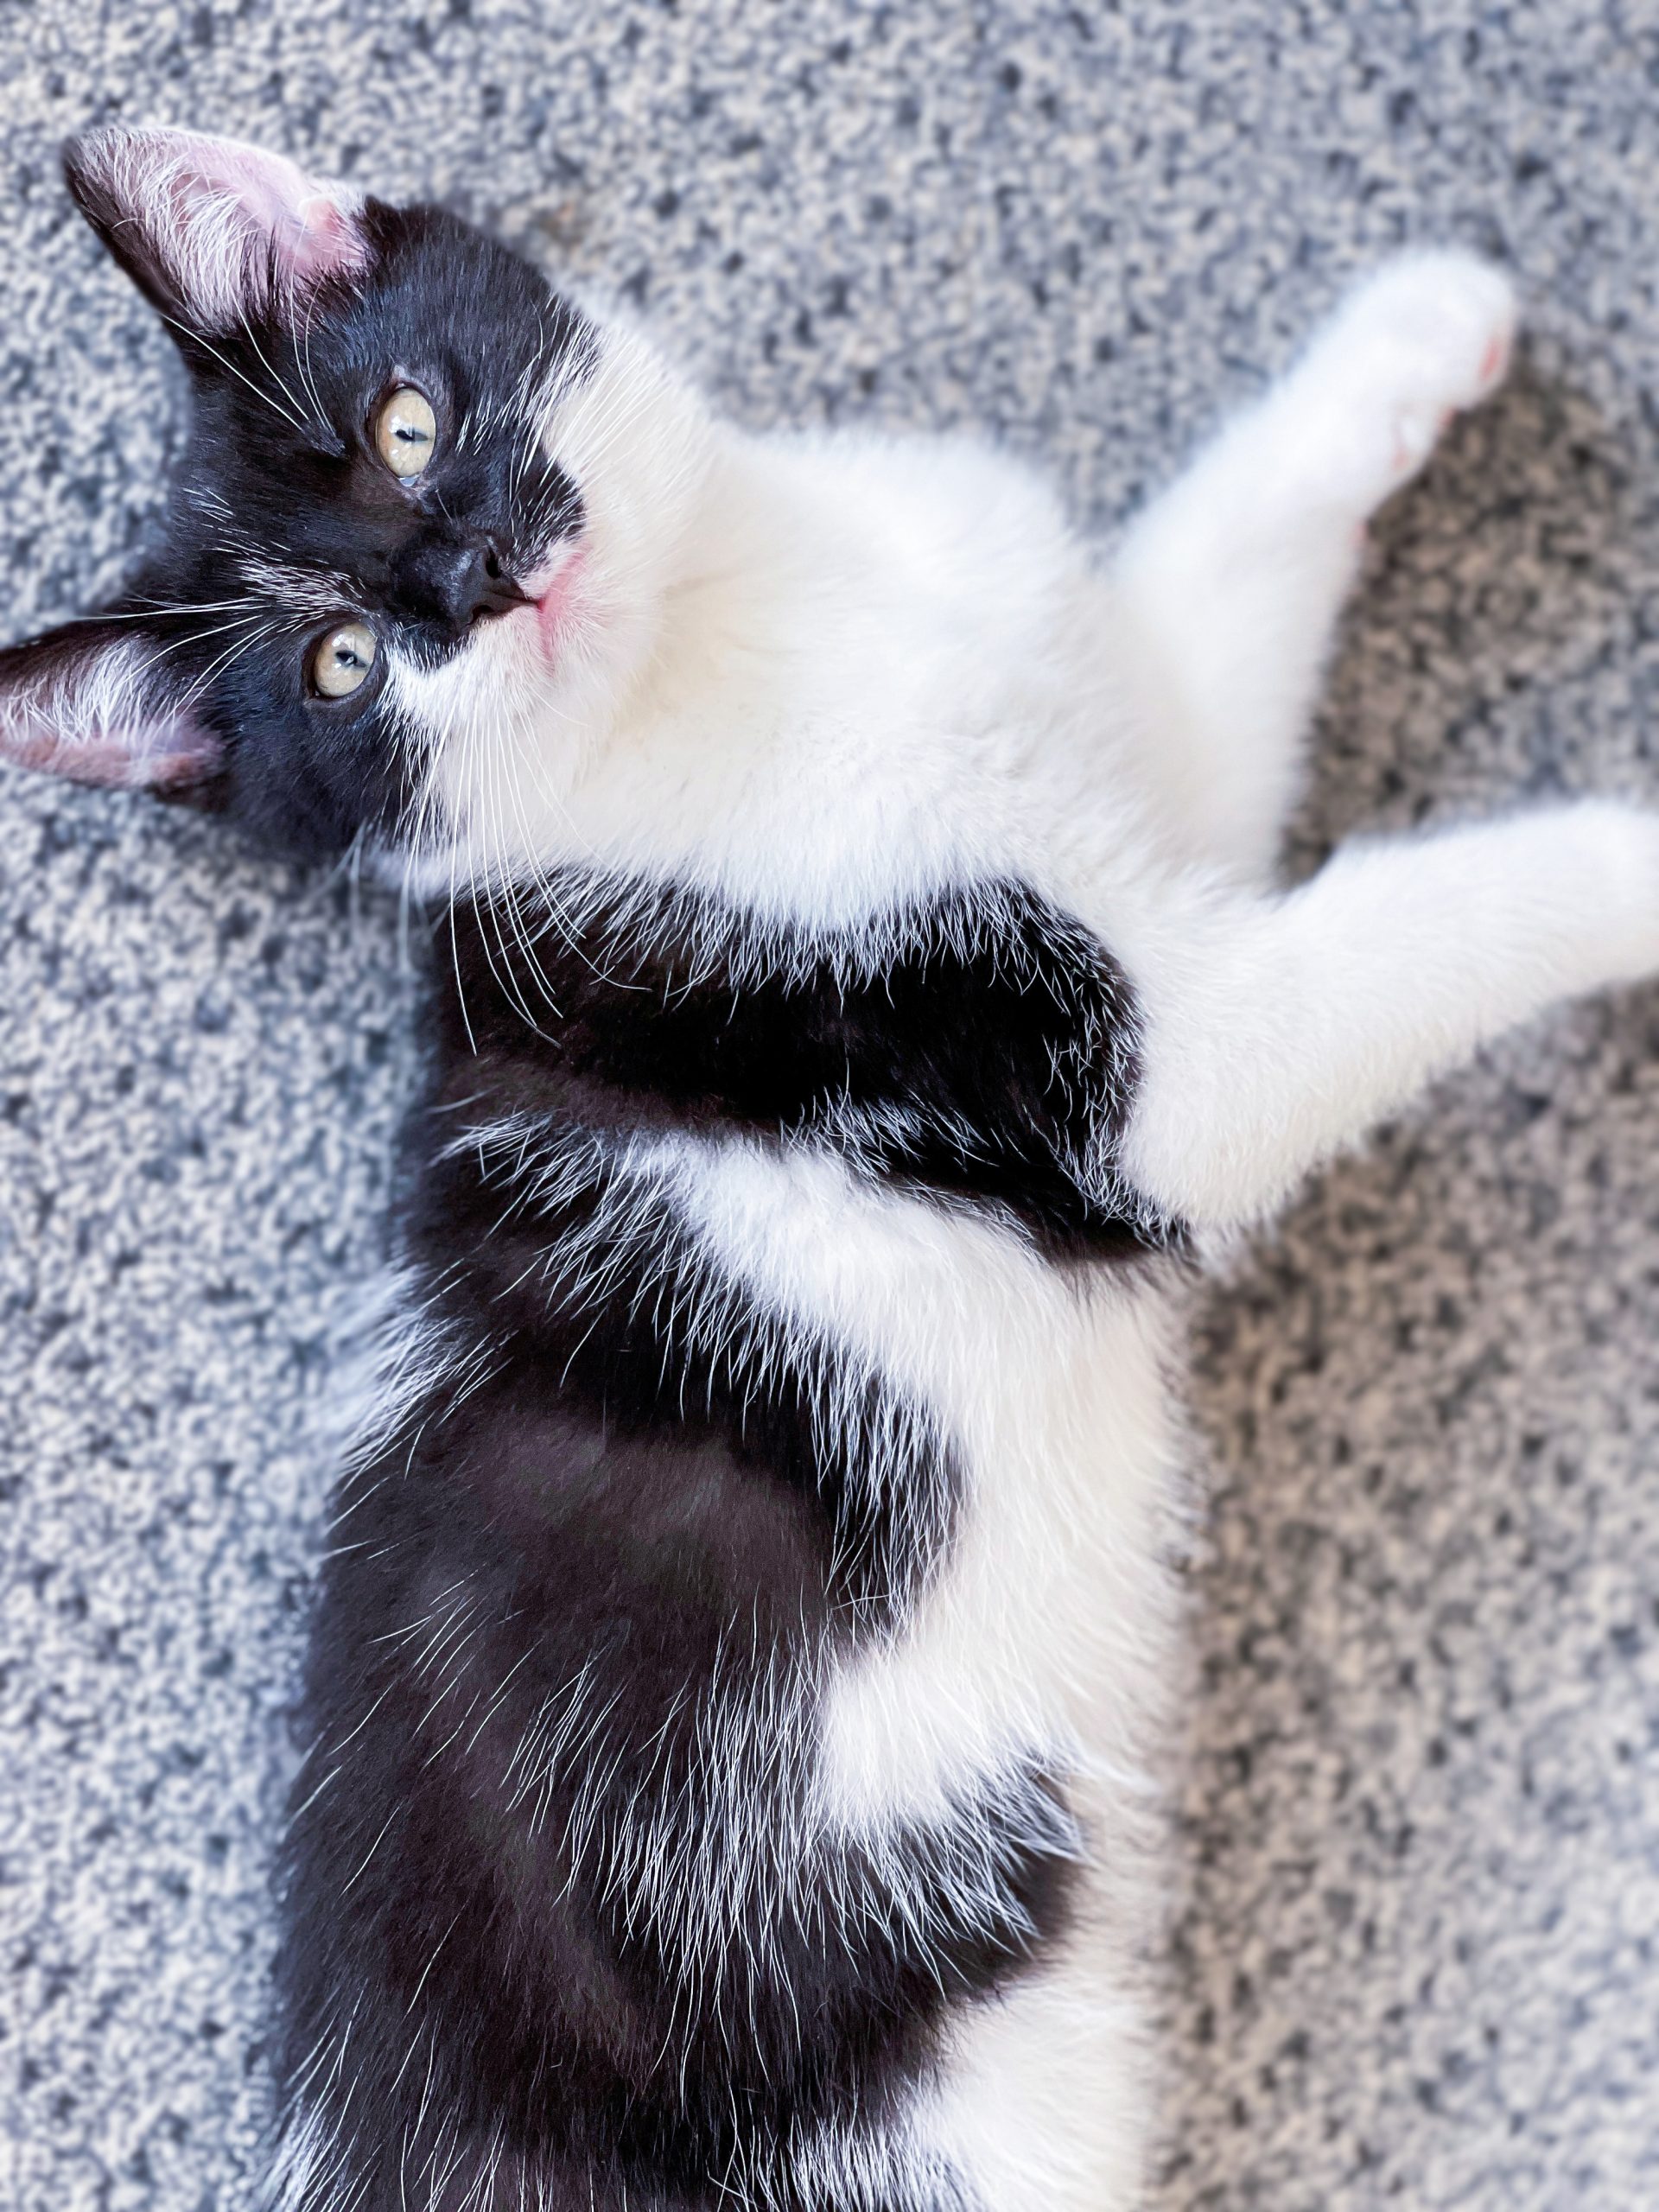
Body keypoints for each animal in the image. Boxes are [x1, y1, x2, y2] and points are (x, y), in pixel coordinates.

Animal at [6, 129, 1654, 2212]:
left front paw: (1405, 340)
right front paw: (1637, 861)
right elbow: (1411, 922)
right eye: (342, 663)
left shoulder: (1121, 759)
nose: (472, 578)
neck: (744, 631)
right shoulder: (1103, 1064)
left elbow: (1195, 636)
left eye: (406, 423)